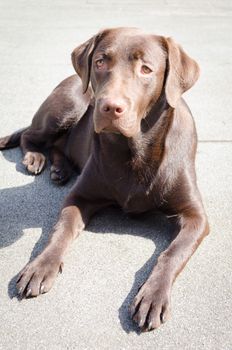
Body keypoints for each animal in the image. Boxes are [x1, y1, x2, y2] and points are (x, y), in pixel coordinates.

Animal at [0, 27, 209, 330]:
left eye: (146, 69)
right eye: (100, 62)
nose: (110, 107)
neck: (134, 149)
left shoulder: (196, 216)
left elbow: (172, 253)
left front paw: (153, 295)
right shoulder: (79, 197)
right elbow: (60, 231)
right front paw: (40, 266)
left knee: (58, 145)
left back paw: (60, 169)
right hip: (70, 104)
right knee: (31, 135)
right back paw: (36, 159)